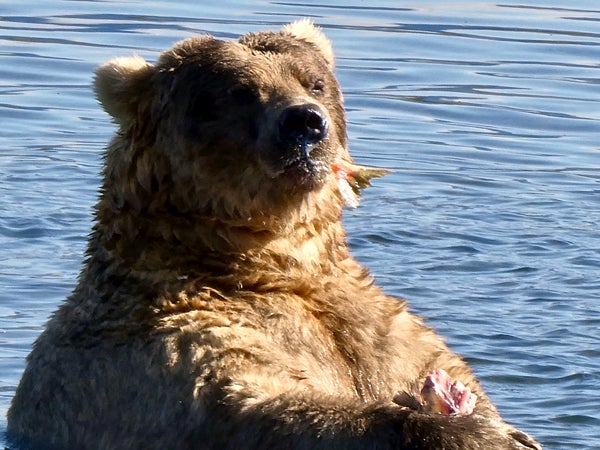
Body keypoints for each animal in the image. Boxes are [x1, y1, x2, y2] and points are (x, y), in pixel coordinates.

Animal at [5, 19, 540, 448]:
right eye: (241, 92)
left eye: (315, 83)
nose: (304, 122)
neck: (272, 264)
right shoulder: (170, 347)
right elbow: (261, 402)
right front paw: (464, 431)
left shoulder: (379, 329)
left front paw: (499, 425)